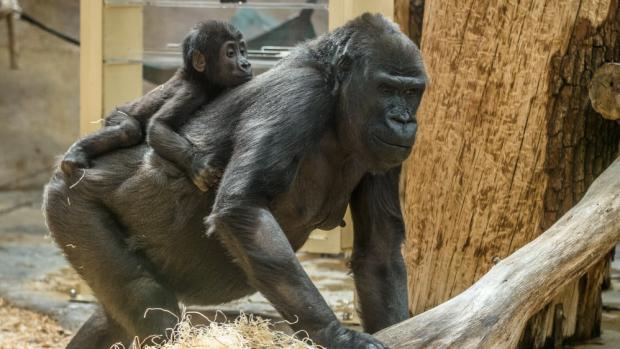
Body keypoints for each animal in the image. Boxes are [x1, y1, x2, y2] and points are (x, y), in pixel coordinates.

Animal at [60, 21, 249, 190]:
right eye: (230, 53)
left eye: (243, 51)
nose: (246, 64)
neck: (200, 77)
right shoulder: (192, 92)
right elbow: (159, 125)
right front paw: (196, 163)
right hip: (116, 115)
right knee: (129, 130)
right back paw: (76, 153)